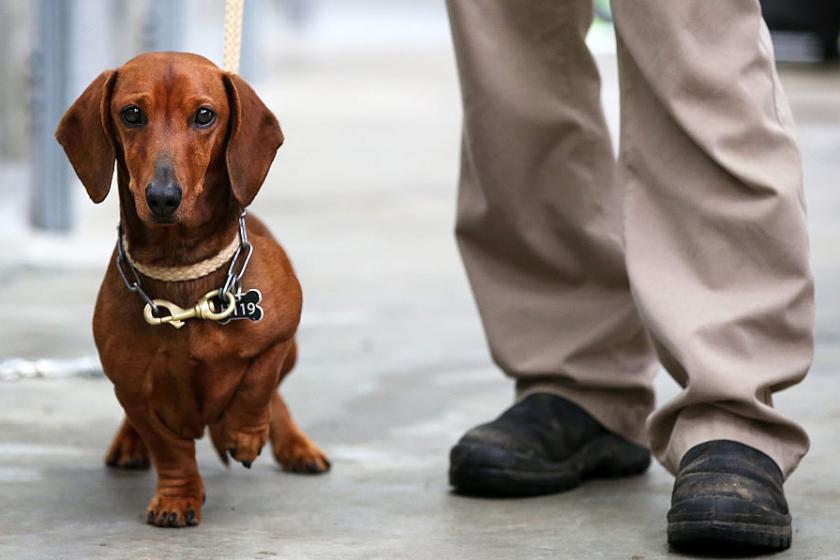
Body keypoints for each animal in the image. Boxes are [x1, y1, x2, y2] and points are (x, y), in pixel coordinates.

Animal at [55, 50, 328, 528]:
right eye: (132, 113)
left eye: (204, 115)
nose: (163, 197)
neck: (182, 274)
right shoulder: (132, 389)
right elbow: (170, 449)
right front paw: (176, 498)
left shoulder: (280, 334)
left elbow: (258, 383)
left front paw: (244, 433)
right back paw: (129, 444)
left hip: (291, 353)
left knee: (277, 395)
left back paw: (294, 445)